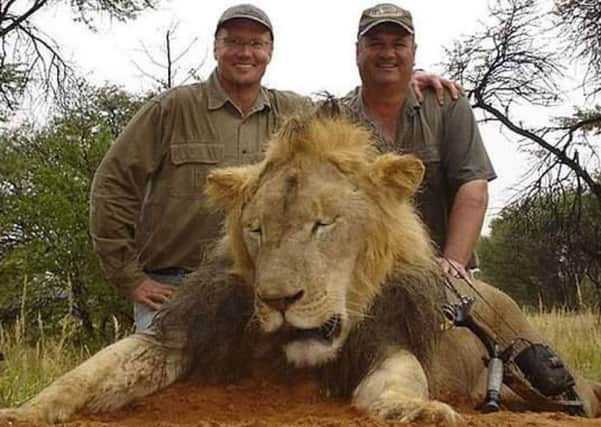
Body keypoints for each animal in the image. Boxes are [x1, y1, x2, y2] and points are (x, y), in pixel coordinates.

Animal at [1, 108, 600, 424]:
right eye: (257, 229)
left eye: (323, 224)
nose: (278, 302)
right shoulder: (184, 333)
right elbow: (86, 374)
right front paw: (24, 411)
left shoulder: (383, 339)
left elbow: (401, 379)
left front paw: (420, 409)